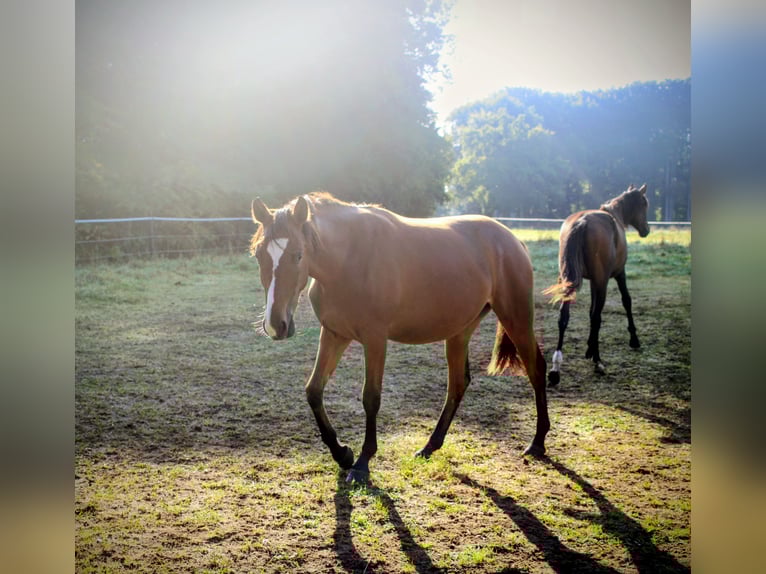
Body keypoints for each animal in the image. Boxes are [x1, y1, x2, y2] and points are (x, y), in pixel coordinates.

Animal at [250, 192, 550, 483]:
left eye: (298, 255)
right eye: (258, 254)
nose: (276, 325)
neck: (348, 260)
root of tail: (513, 240)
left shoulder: (375, 339)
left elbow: (371, 397)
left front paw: (362, 463)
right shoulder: (334, 334)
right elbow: (313, 390)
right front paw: (342, 454)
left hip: (516, 318)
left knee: (536, 369)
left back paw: (537, 442)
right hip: (460, 331)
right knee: (457, 384)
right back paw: (429, 447)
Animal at [543, 184, 650, 386]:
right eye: (644, 204)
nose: (646, 230)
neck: (615, 215)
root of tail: (582, 221)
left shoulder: (593, 280)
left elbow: (590, 310)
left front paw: (589, 348)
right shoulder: (618, 274)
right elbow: (626, 301)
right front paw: (634, 339)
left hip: (568, 280)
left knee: (564, 317)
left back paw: (555, 368)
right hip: (602, 281)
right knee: (597, 316)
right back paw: (598, 361)